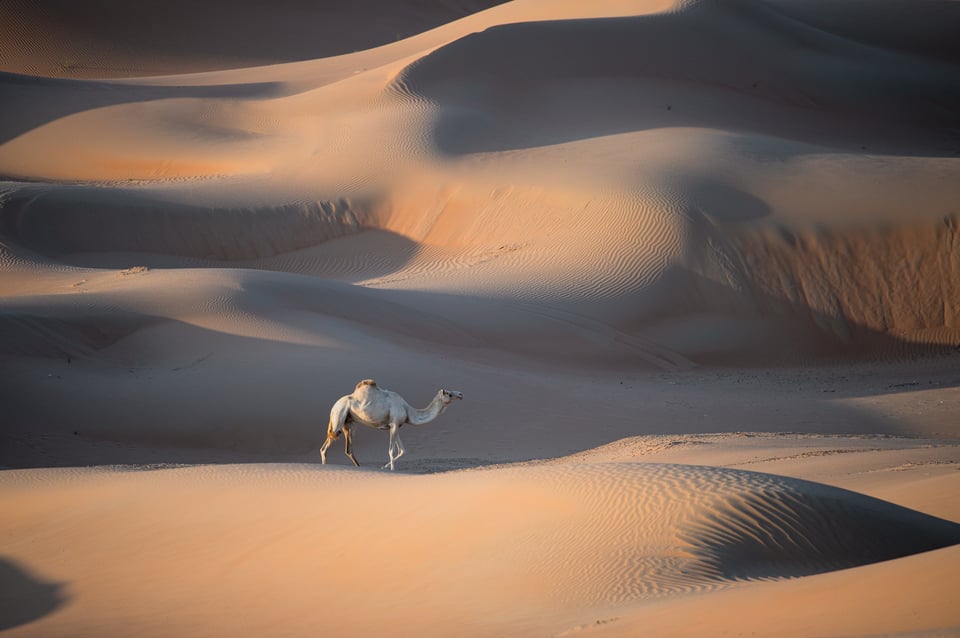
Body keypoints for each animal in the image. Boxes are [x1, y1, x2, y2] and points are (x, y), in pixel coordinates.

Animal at [320, 382, 464, 472]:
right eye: (449, 394)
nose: (461, 394)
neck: (408, 410)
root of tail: (333, 408)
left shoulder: (394, 426)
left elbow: (402, 451)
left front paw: (384, 468)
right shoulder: (394, 424)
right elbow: (392, 451)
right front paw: (392, 470)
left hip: (349, 423)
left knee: (348, 449)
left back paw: (358, 467)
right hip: (338, 419)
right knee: (325, 447)